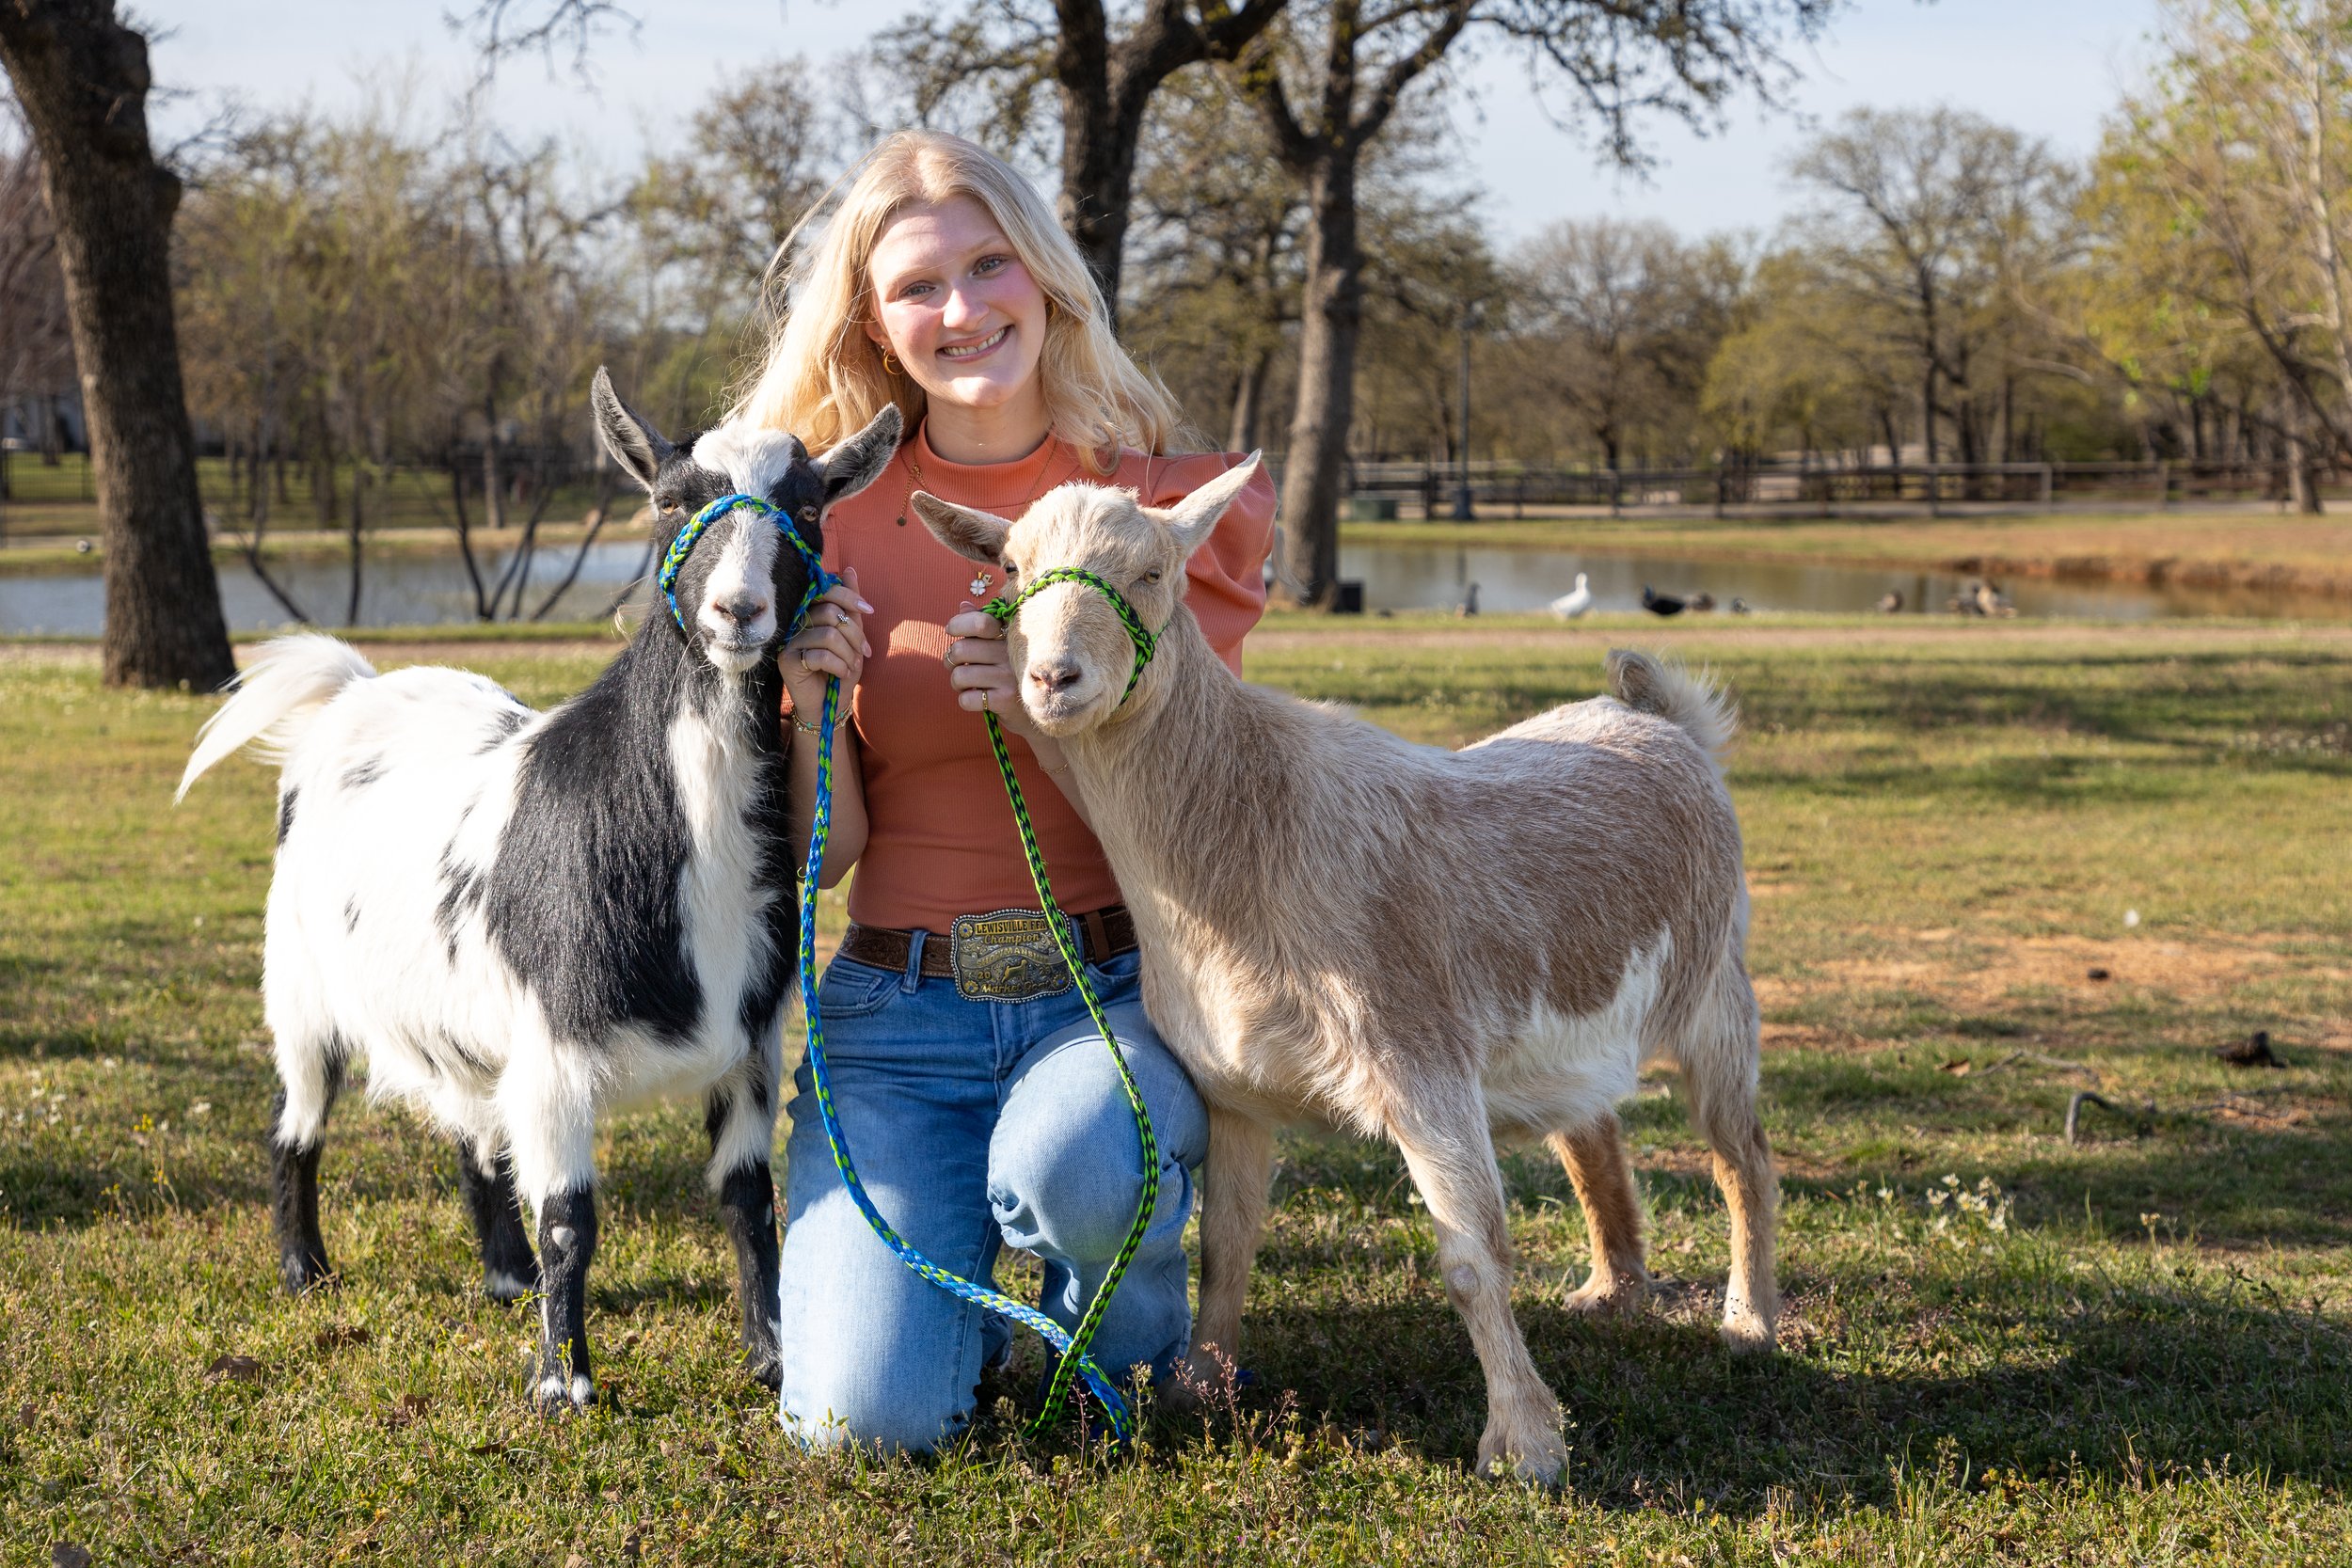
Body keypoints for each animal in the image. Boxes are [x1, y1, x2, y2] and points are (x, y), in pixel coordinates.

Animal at [176, 370, 899, 1409]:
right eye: (669, 501)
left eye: (808, 509)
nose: (737, 611)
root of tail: (355, 688)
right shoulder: (556, 1052)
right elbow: (571, 1217)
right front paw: (565, 1384)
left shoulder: (750, 1049)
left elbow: (745, 1202)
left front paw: (771, 1359)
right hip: (301, 987)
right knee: (295, 1123)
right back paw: (305, 1267)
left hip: (463, 1015)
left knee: (474, 1131)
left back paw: (504, 1272)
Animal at [915, 464, 1777, 1486]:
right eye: (1010, 568)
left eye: (1156, 571)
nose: (1054, 677)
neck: (1245, 831)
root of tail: (1660, 719)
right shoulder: (1231, 1087)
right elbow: (1227, 1239)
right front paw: (1199, 1384)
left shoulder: (1420, 1059)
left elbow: (1472, 1257)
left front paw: (1524, 1446)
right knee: (1592, 1125)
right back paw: (1614, 1287)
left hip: (1717, 986)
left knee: (1740, 1155)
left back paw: (1750, 1320)